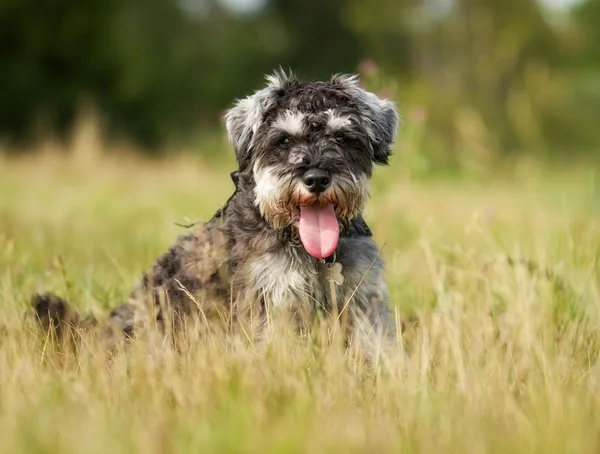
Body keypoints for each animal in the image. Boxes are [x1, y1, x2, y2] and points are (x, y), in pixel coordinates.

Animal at [31, 70, 398, 354]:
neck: (313, 253)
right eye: (283, 141)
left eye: (344, 137)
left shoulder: (363, 299)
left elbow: (378, 348)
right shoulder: (270, 301)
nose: (317, 178)